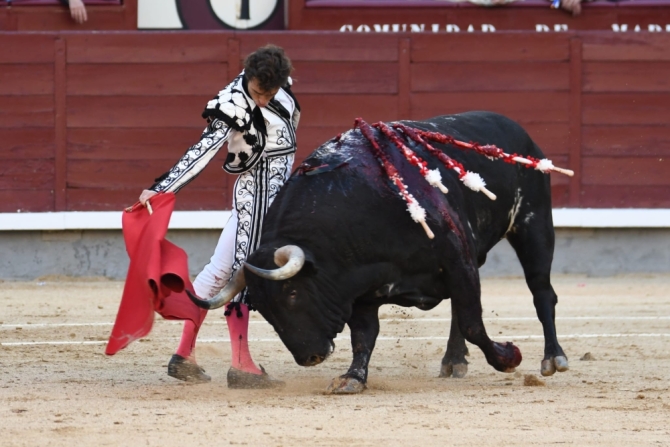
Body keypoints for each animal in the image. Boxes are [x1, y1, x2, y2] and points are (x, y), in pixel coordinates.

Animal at [192, 110, 568, 394]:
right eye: (263, 309)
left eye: (293, 294)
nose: (309, 357)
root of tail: (516, 129)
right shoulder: (359, 289)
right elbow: (364, 336)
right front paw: (352, 378)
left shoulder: (457, 258)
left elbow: (474, 321)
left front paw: (509, 357)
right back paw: (453, 361)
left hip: (534, 225)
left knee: (541, 291)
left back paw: (553, 358)